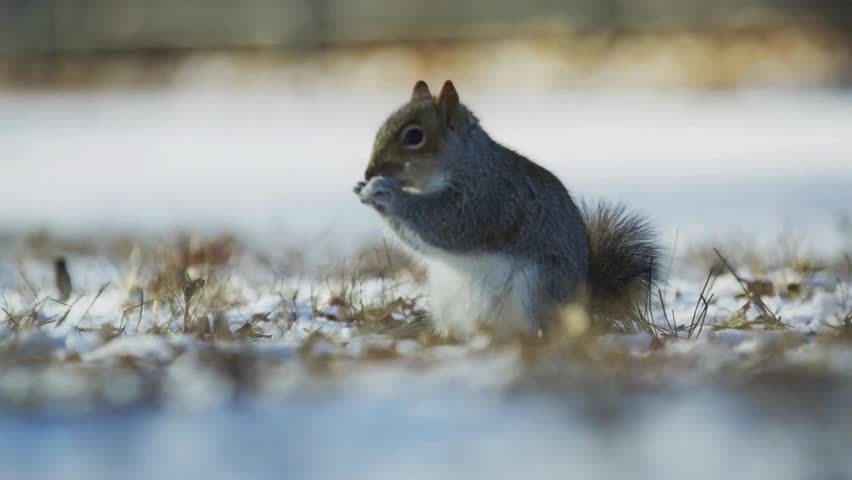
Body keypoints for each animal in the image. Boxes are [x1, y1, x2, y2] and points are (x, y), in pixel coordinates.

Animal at [354, 80, 662, 339]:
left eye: (414, 136)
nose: (369, 172)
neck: (466, 162)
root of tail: (583, 307)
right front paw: (363, 188)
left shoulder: (486, 199)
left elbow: (445, 225)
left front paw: (384, 192)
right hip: (445, 300)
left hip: (536, 289)